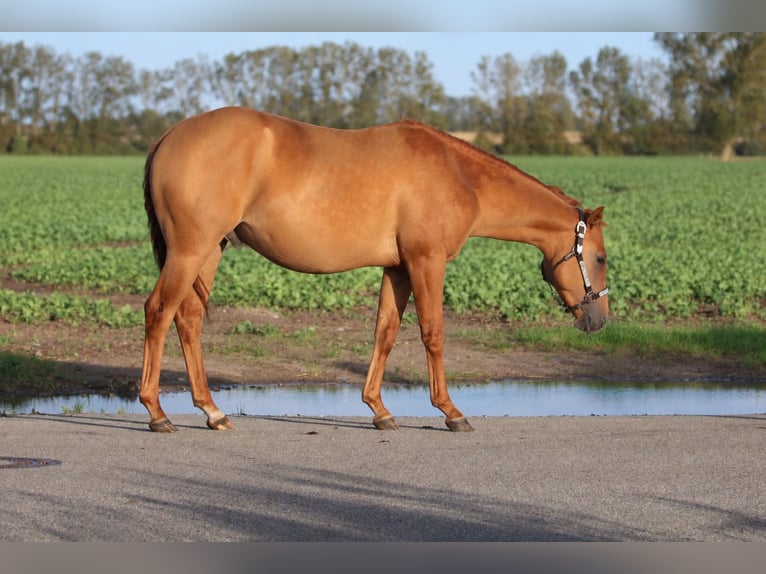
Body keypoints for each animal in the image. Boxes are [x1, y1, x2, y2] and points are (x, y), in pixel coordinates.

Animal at [140, 106, 609, 433]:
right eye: (601, 259)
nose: (599, 319)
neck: (459, 175)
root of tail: (169, 136)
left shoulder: (397, 267)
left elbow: (385, 332)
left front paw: (379, 410)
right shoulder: (426, 261)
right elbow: (433, 333)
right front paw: (451, 412)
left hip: (210, 250)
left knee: (188, 318)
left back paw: (213, 412)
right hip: (190, 250)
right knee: (158, 311)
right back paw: (157, 413)